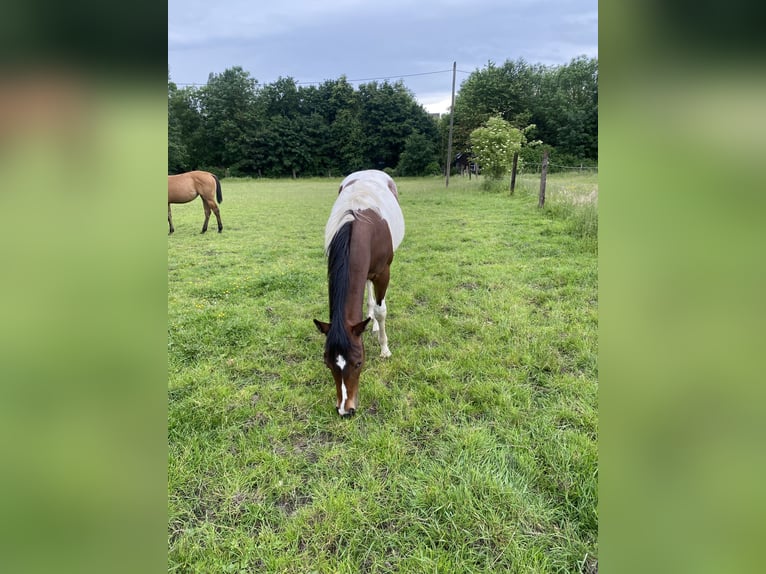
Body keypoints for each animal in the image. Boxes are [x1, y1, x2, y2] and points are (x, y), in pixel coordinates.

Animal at [314, 170, 404, 418]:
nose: (346, 410)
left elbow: (382, 311)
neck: (357, 225)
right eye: (327, 363)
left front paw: (385, 349)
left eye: (358, 363)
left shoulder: (383, 272)